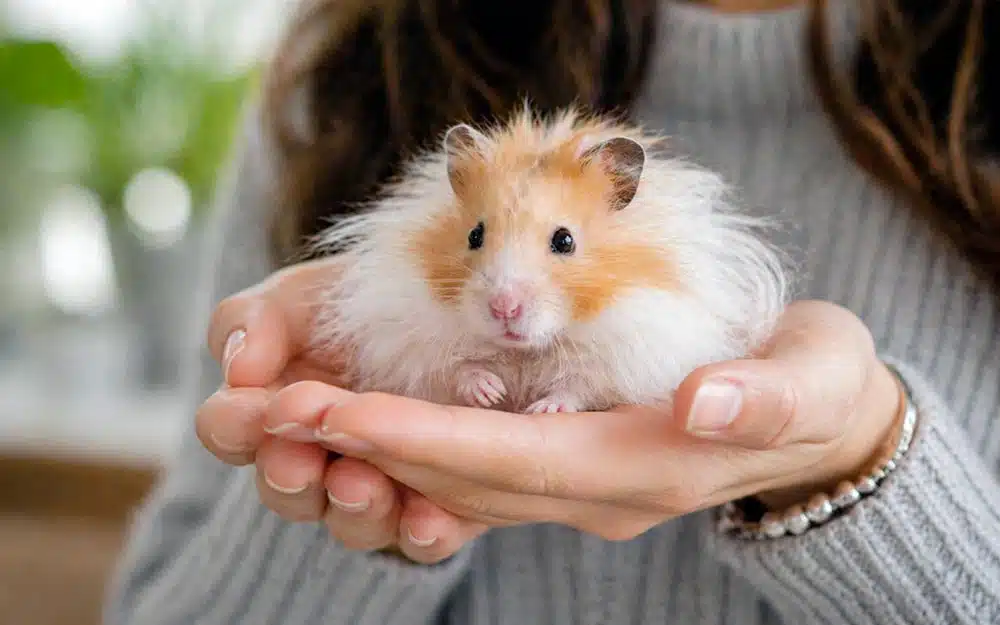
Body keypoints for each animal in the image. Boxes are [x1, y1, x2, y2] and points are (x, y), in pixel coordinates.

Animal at [309, 106, 790, 414]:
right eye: (474, 235)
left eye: (565, 240)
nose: (504, 308)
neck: (528, 351)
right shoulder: (410, 341)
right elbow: (457, 369)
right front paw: (489, 391)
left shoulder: (631, 351)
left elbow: (580, 386)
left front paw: (544, 408)